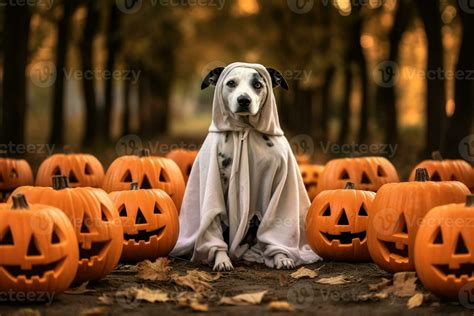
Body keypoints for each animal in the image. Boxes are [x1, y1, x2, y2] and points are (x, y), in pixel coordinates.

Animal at [168, 62, 320, 272]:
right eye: (231, 83)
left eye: (257, 84)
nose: (244, 100)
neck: (246, 129)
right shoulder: (214, 185)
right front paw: (221, 259)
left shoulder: (281, 184)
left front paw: (281, 257)